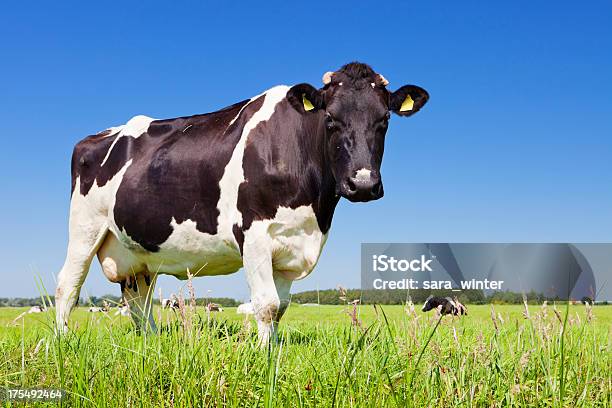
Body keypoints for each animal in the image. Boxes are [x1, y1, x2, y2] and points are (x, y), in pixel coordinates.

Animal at [56, 61, 430, 342]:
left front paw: (275, 351)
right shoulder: (254, 234)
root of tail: (96, 136)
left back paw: (151, 342)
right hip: (84, 230)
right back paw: (63, 341)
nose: (363, 184)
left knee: (139, 300)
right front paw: (265, 360)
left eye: (384, 120)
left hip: (137, 252)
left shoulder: (291, 246)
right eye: (329, 119)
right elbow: (266, 304)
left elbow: (280, 307)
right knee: (67, 286)